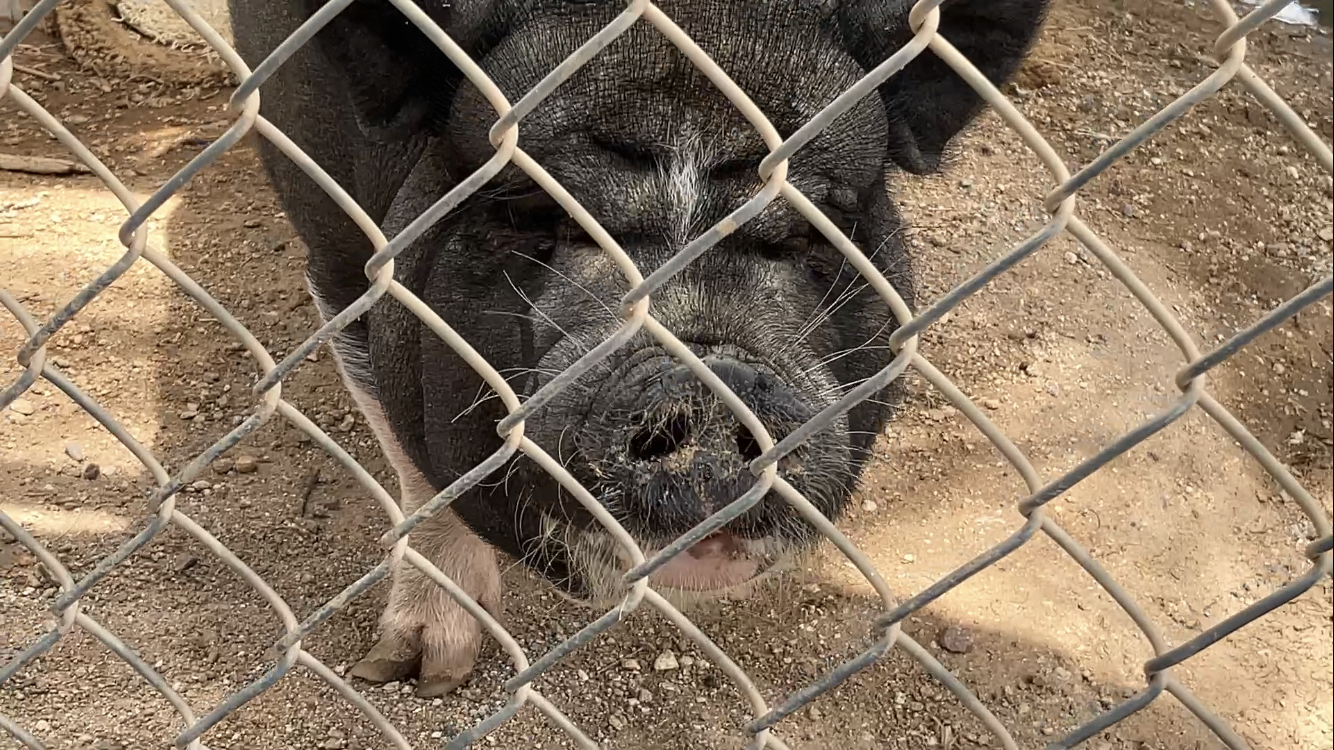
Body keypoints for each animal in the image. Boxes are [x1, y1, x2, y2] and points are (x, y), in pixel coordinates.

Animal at [229, 0, 1045, 693]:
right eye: (529, 209)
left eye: (822, 222)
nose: (707, 382)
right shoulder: (341, 263)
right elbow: (414, 465)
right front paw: (412, 675)